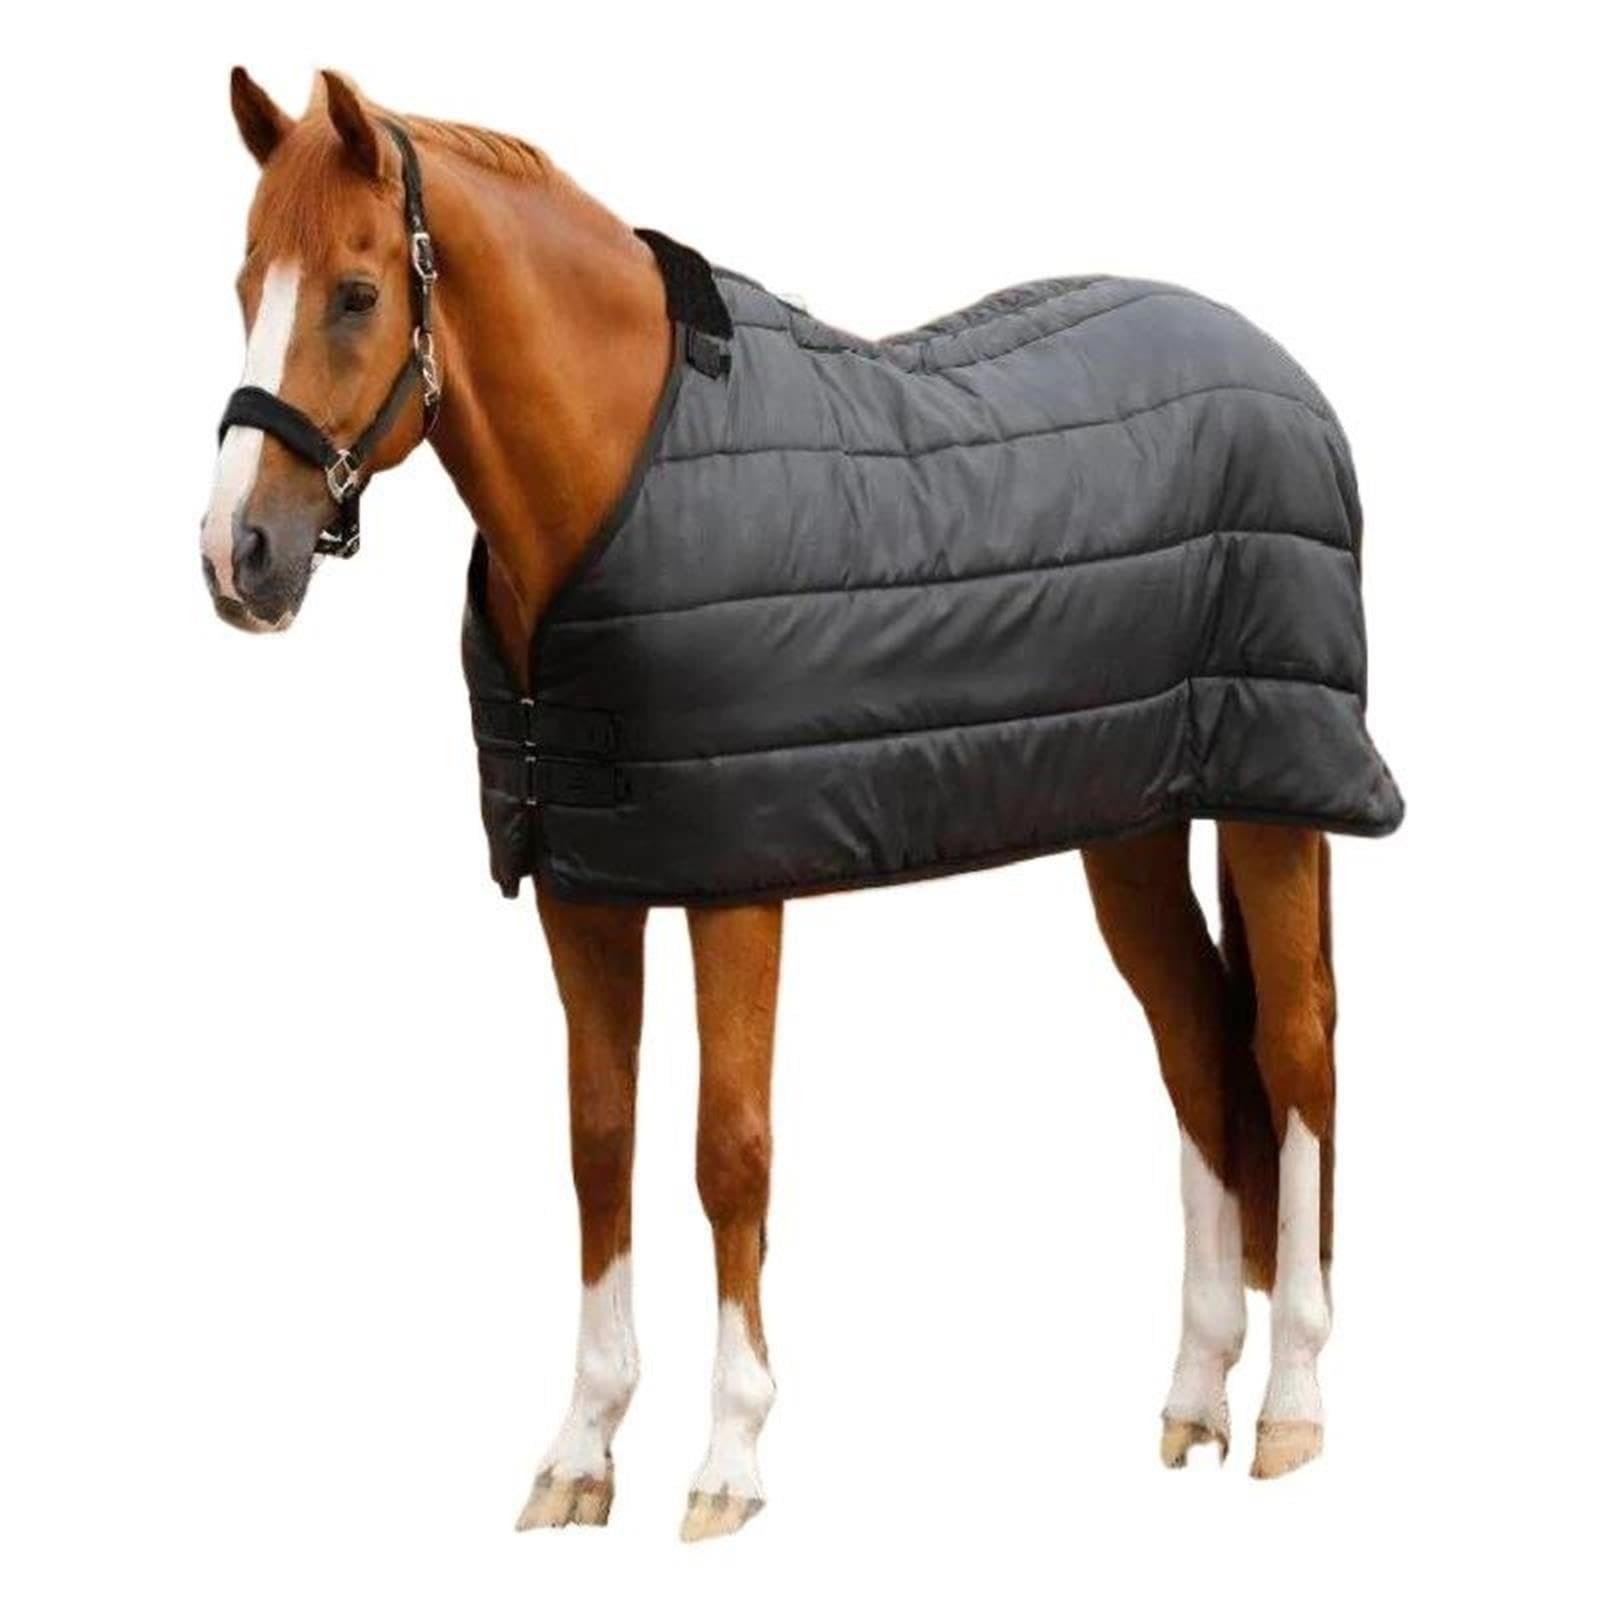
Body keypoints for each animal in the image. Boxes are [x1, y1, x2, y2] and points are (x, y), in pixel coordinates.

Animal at [201, 68, 1375, 1538]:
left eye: (357, 293)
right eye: (244, 280)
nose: (237, 555)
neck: (620, 475)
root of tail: (1283, 372)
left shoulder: (734, 881)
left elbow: (730, 1153)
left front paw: (728, 1462)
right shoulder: (587, 888)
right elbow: (599, 1143)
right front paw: (580, 1453)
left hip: (1279, 801)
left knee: (1294, 1053)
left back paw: (1293, 1407)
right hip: (1135, 823)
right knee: (1198, 1049)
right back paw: (1194, 1395)